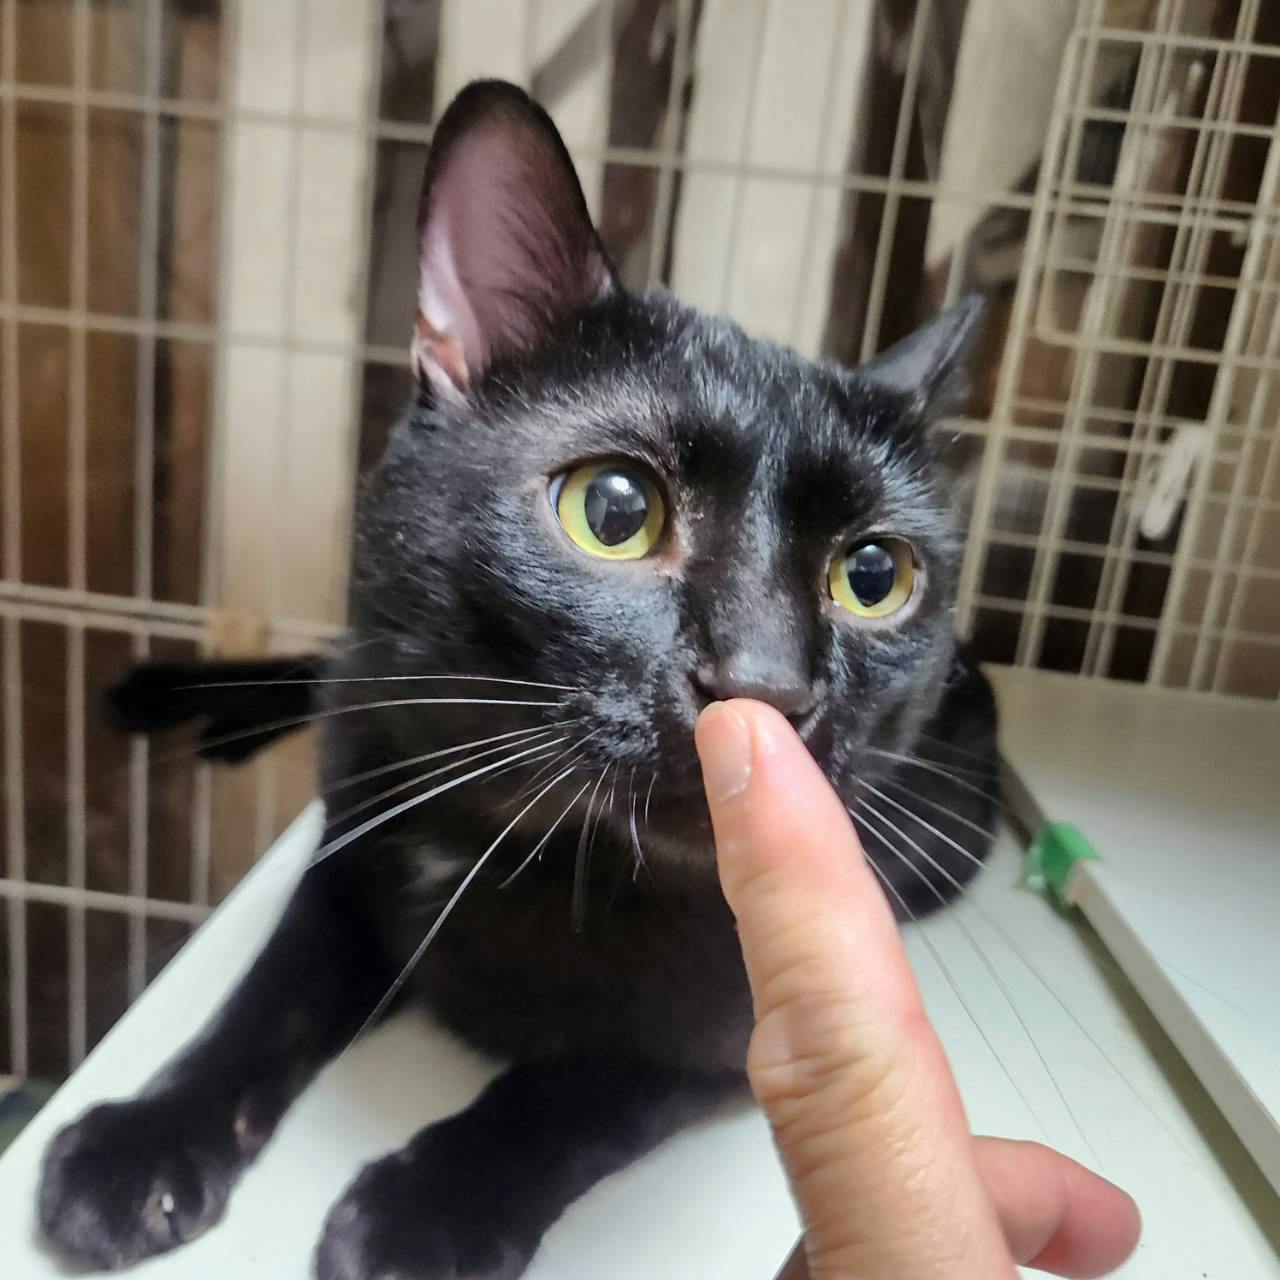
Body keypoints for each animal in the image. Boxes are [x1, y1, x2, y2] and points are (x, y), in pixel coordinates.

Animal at [38, 80, 997, 1279]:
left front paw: (422, 1214)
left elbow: (573, 1089)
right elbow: (266, 995)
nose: (767, 686)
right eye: (614, 510)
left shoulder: (732, 1021)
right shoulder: (353, 848)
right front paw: (137, 1147)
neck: (540, 847)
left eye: (872, 576)